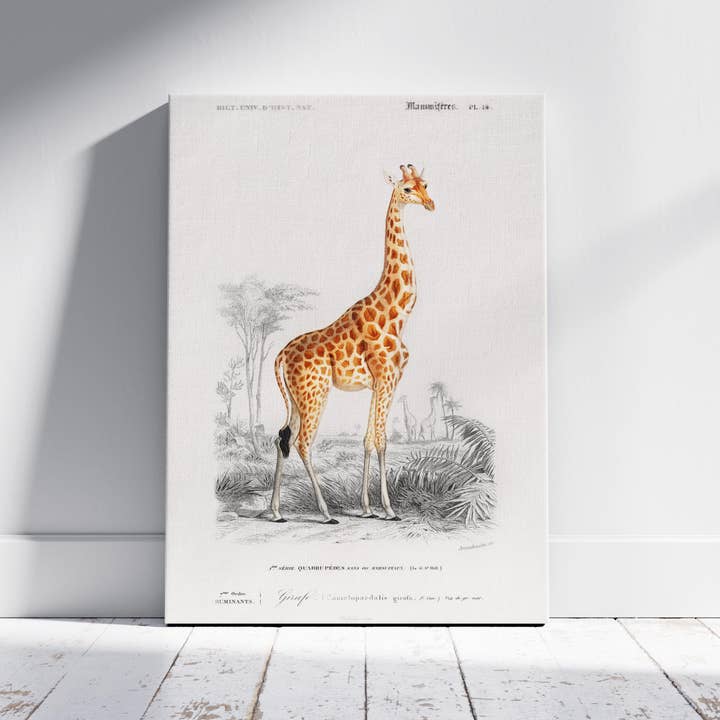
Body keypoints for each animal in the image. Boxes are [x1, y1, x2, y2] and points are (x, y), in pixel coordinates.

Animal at [270, 164, 435, 523]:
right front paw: (388, 509)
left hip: (296, 398)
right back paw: (325, 512)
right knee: (302, 443)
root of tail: (280, 356)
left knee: (281, 438)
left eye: (426, 185)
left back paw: (274, 511)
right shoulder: (387, 377)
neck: (397, 313)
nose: (431, 204)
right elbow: (383, 440)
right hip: (315, 393)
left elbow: (368, 440)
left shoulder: (379, 382)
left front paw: (367, 508)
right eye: (406, 189)